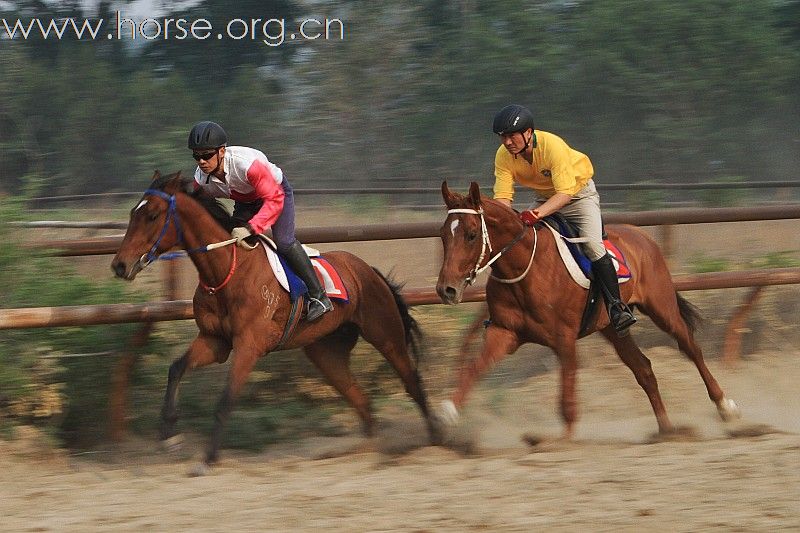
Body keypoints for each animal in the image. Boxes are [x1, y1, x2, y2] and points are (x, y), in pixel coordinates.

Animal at [110, 171, 440, 470]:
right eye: (133, 212)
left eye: (152, 215)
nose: (120, 265)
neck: (227, 270)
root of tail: (368, 269)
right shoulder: (215, 342)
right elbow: (176, 369)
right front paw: (168, 433)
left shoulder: (249, 346)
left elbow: (225, 400)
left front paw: (208, 458)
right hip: (325, 352)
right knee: (360, 400)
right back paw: (368, 450)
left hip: (386, 335)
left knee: (412, 382)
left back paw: (437, 439)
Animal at [434, 183, 740, 440]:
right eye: (443, 236)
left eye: (472, 235)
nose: (446, 289)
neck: (524, 269)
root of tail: (642, 235)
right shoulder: (504, 333)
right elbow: (474, 369)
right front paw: (447, 412)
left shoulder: (564, 339)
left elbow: (567, 395)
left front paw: (563, 441)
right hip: (612, 326)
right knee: (644, 369)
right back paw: (667, 430)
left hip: (661, 307)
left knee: (690, 347)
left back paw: (725, 406)